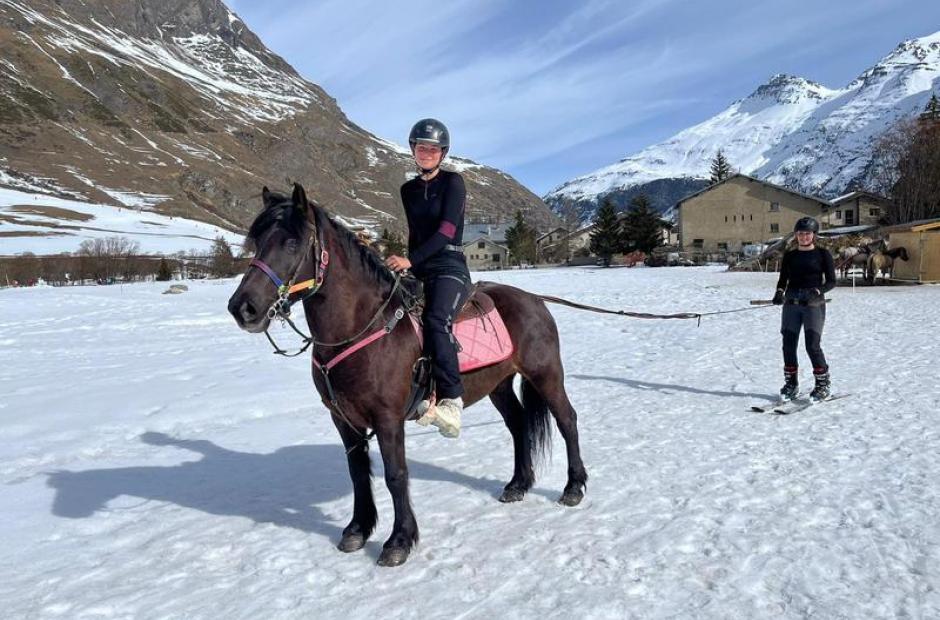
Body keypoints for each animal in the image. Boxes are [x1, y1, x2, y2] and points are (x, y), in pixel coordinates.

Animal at [227, 184, 587, 567]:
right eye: (257, 240)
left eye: (292, 242)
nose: (243, 308)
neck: (359, 327)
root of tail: (535, 300)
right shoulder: (343, 418)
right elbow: (358, 473)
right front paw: (357, 529)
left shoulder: (387, 418)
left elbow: (395, 475)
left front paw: (399, 541)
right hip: (498, 384)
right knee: (519, 425)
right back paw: (517, 485)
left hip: (545, 374)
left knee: (567, 420)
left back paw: (573, 487)